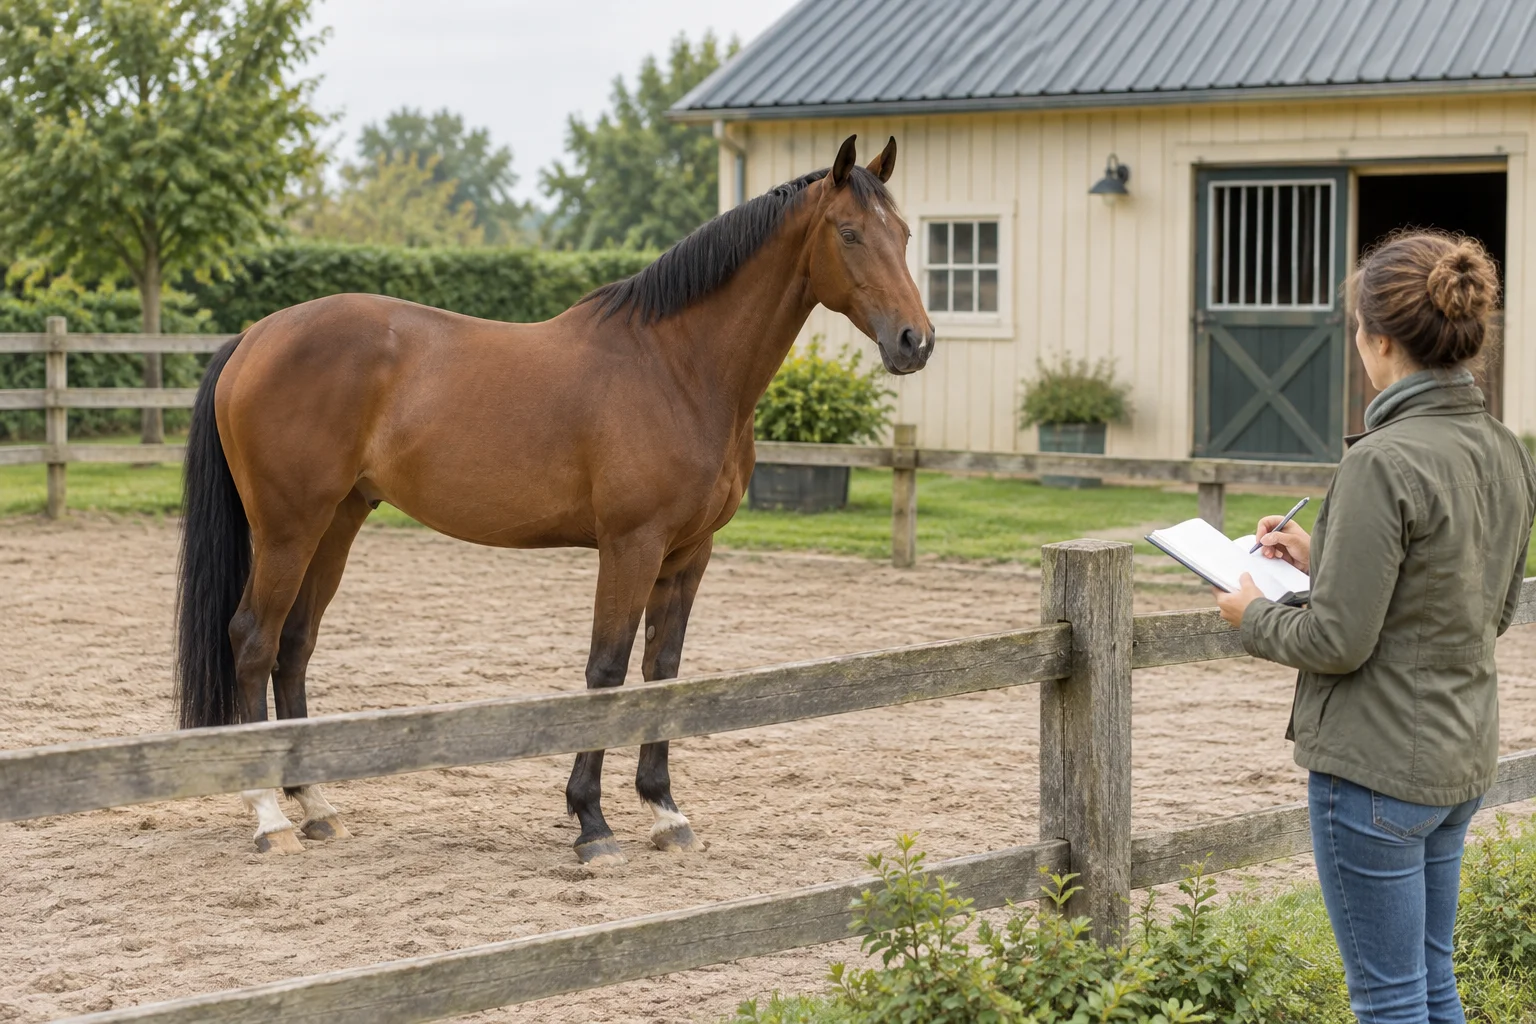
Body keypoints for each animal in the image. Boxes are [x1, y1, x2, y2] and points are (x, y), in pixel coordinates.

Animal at [174, 134, 933, 864]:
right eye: (848, 232)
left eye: (903, 234)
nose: (915, 341)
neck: (677, 367)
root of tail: (256, 336)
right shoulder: (631, 545)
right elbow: (607, 669)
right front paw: (591, 822)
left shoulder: (690, 553)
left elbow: (662, 673)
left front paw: (665, 811)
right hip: (287, 528)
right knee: (253, 640)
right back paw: (269, 816)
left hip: (335, 523)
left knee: (294, 645)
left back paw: (316, 806)